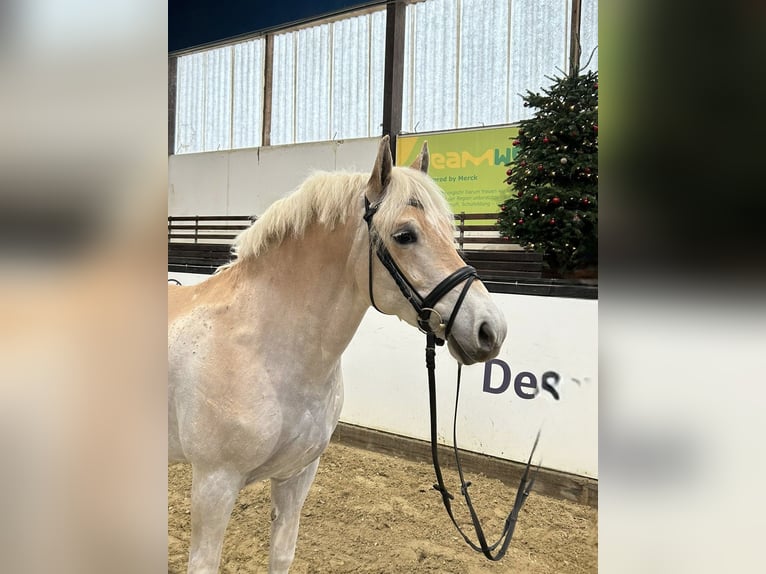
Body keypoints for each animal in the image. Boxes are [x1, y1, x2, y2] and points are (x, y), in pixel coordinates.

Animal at [170, 137, 510, 572]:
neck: (261, 349)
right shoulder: (214, 483)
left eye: (449, 231)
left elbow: (282, 554)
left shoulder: (296, 476)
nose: (490, 330)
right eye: (405, 235)